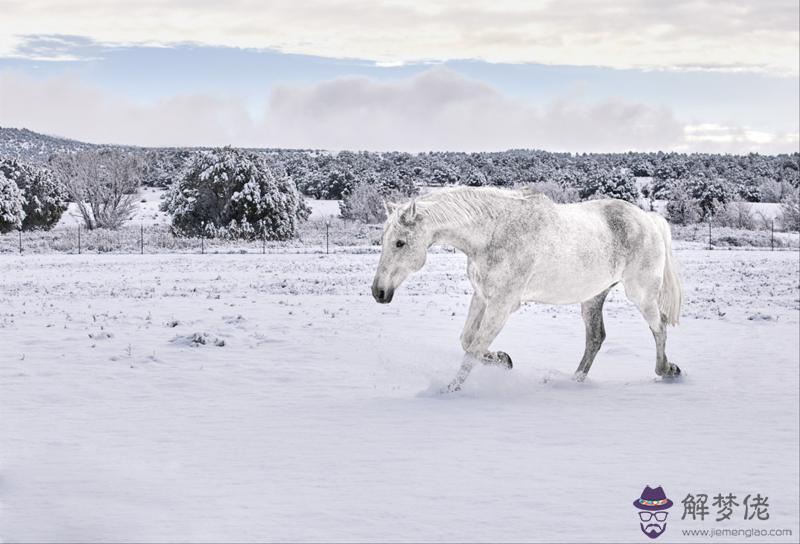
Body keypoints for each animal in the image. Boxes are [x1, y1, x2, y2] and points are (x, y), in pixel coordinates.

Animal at [374, 187, 680, 392]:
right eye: (384, 239)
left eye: (400, 243)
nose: (378, 292)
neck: (493, 233)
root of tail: (648, 219)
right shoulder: (482, 296)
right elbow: (467, 341)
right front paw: (503, 359)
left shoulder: (502, 305)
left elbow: (473, 349)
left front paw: (450, 390)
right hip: (593, 297)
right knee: (595, 338)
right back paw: (573, 381)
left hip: (641, 293)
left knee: (660, 326)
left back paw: (668, 370)